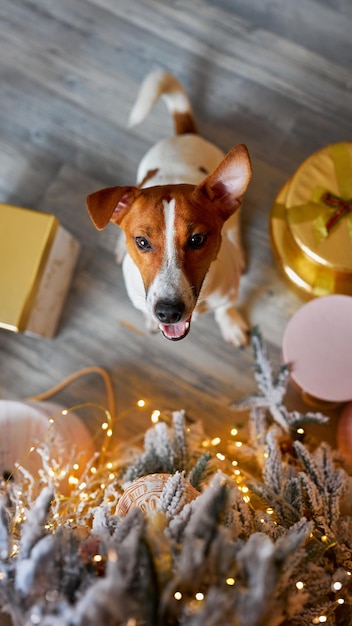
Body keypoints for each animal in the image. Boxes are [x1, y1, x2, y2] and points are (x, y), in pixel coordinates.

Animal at [88, 72, 253, 346]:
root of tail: (184, 135)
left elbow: (225, 308)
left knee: (234, 231)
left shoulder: (228, 293)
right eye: (142, 242)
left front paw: (229, 324)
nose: (167, 312)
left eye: (197, 239)